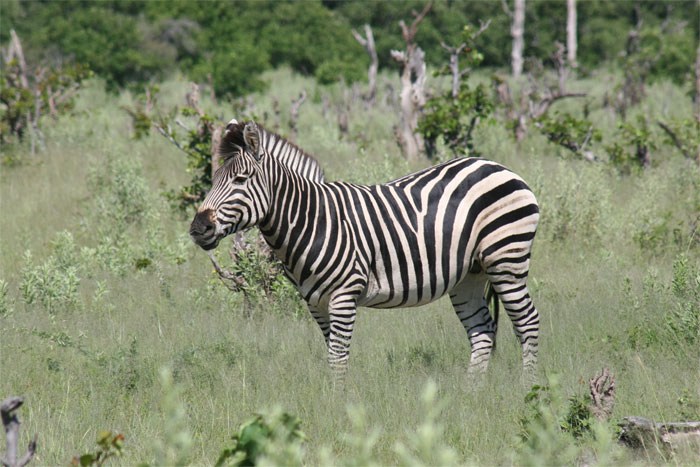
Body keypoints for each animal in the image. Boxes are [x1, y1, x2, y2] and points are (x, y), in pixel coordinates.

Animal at [190, 120, 540, 382]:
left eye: (240, 179)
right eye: (214, 179)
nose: (198, 228)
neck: (311, 220)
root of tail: (496, 166)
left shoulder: (345, 295)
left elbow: (338, 358)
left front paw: (339, 411)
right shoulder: (315, 302)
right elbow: (331, 354)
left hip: (506, 260)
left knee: (528, 322)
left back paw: (528, 390)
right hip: (469, 275)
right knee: (482, 332)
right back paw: (470, 393)